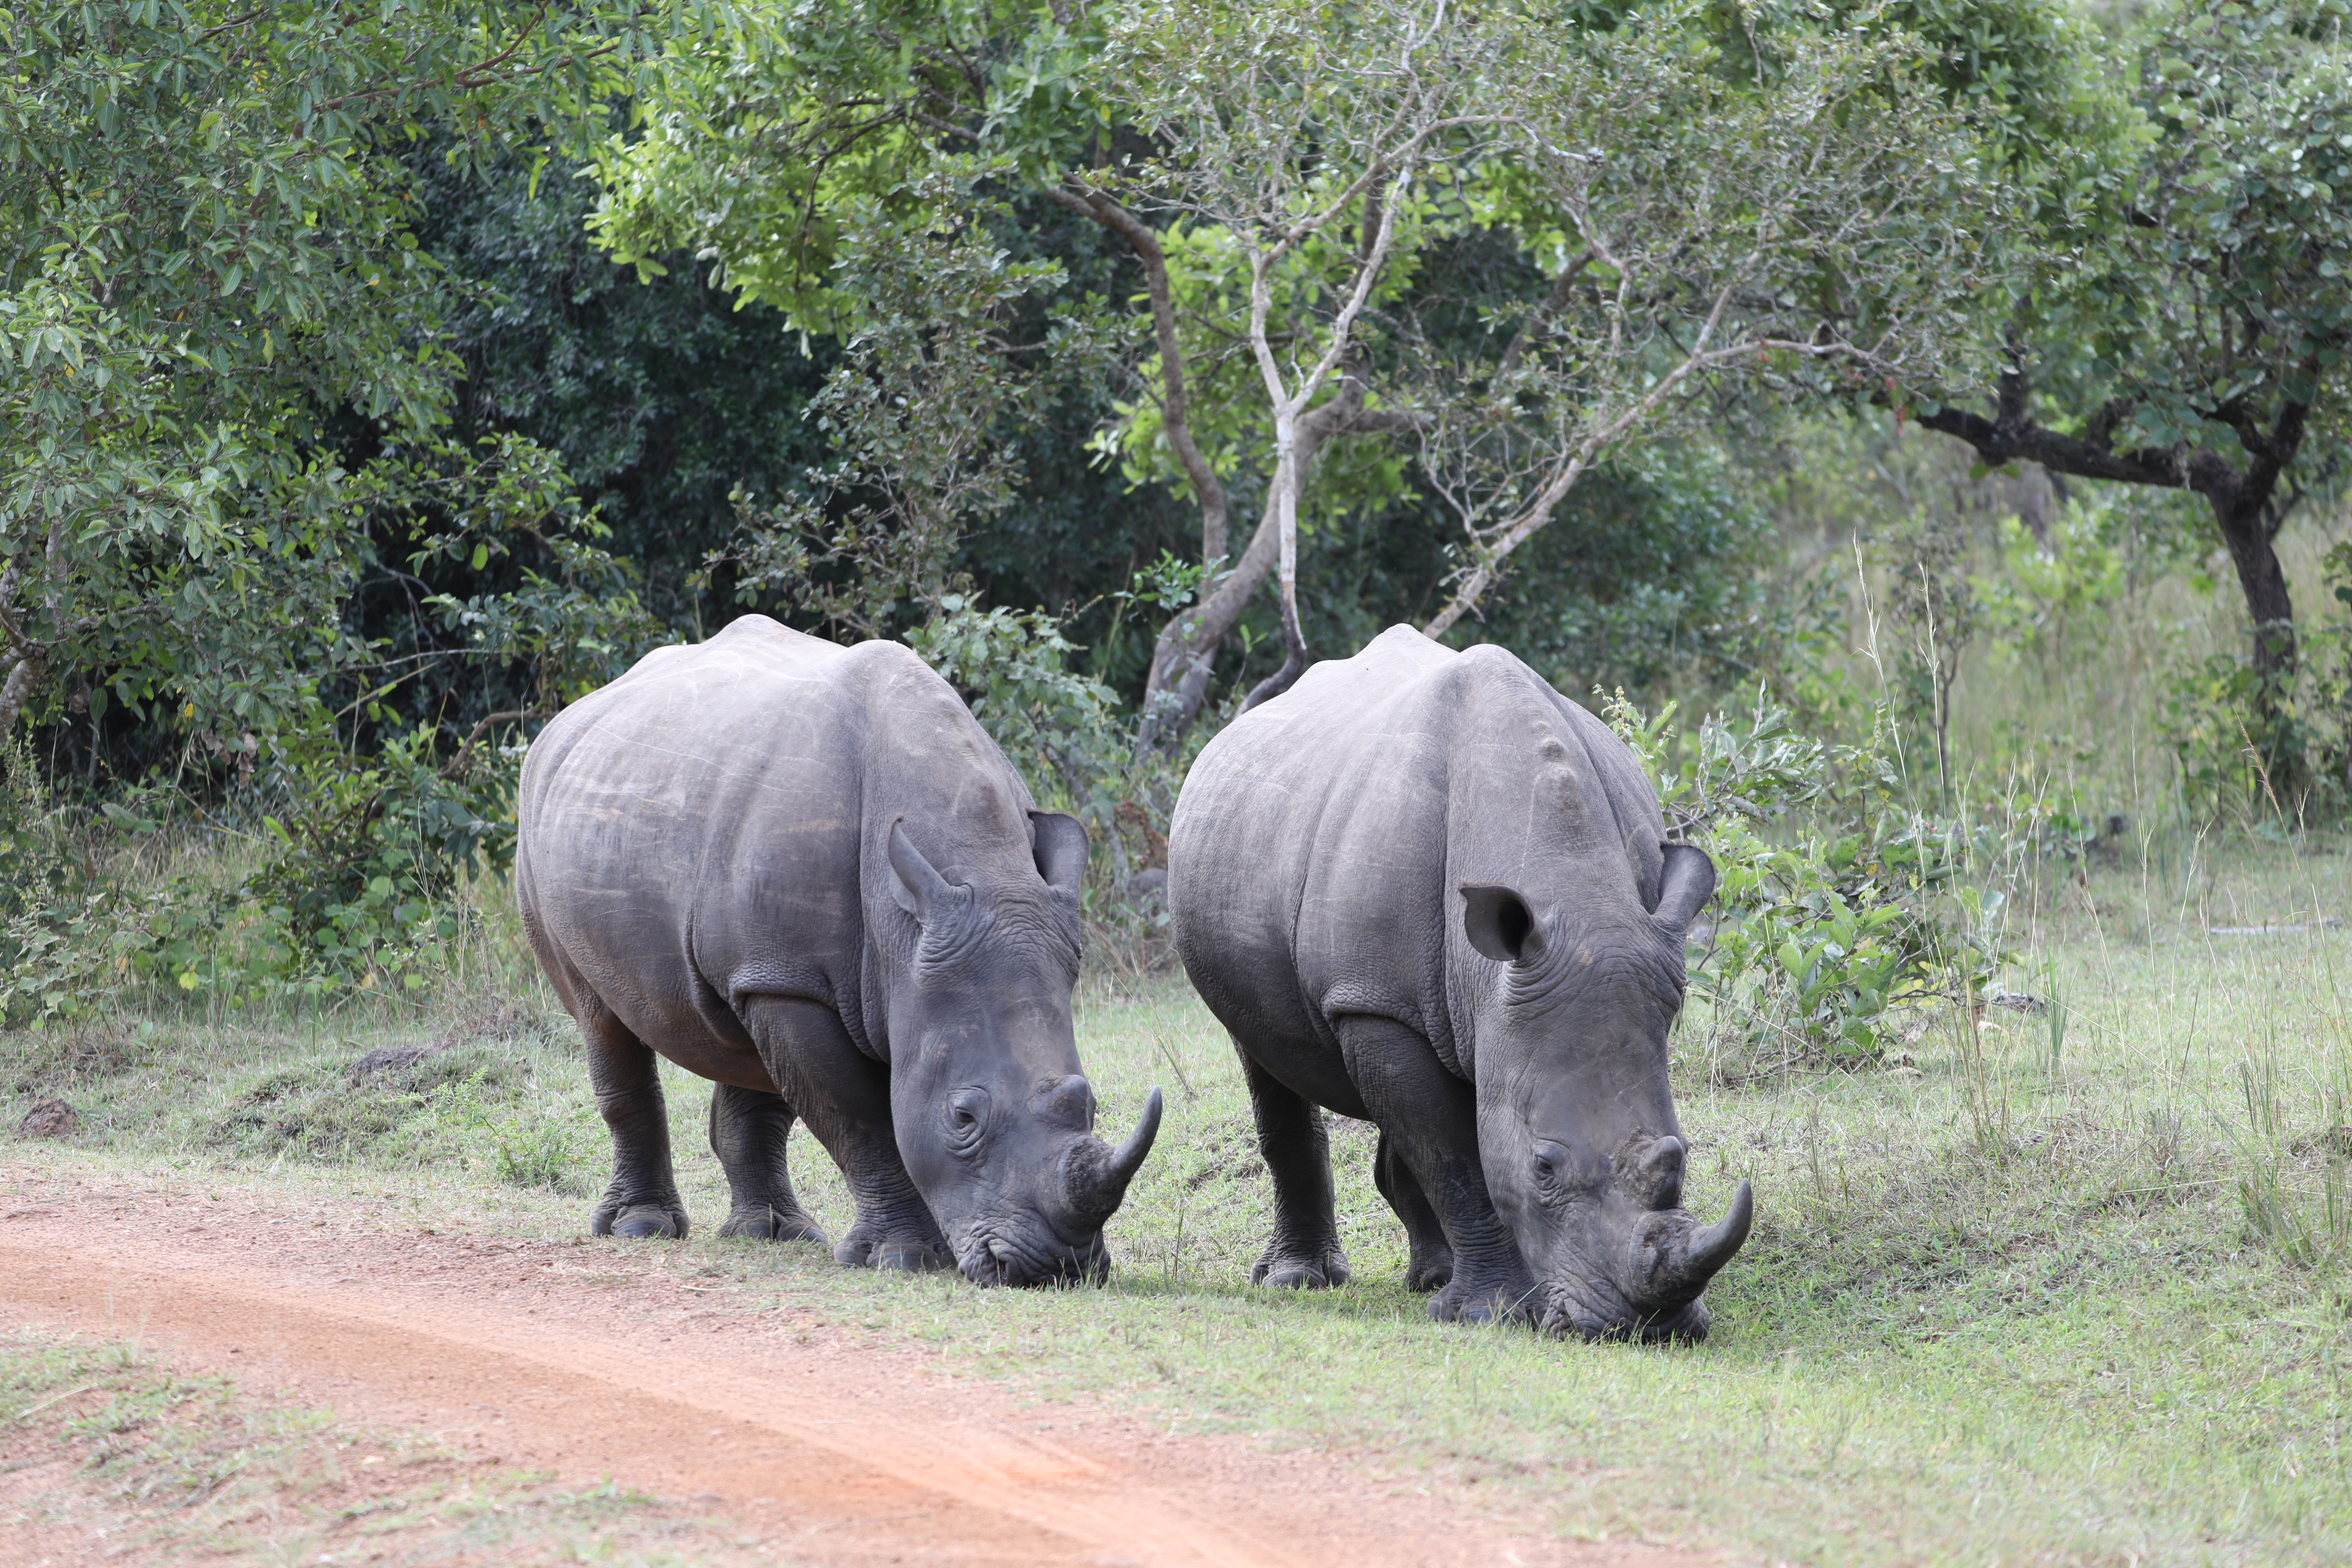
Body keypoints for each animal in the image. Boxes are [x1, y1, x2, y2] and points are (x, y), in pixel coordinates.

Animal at [515, 614, 1161, 1285]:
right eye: (962, 1117)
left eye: (1090, 1105)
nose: (1054, 1269)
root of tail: (565, 722)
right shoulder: (797, 982)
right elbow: (862, 1119)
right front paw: (905, 1260)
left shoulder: (791, 970)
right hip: (548, 840)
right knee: (601, 1018)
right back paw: (641, 1229)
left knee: (744, 1044)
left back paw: (775, 1235)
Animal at [1166, 626, 1750, 1339]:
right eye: (1544, 1166)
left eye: (1681, 1153)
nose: (1651, 1326)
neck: (1574, 895)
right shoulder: (1373, 1002)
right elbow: (1454, 1156)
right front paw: (1489, 1313)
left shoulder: (1481, 1000)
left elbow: (1447, 1138)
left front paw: (1487, 1302)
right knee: (1264, 1054)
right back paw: (1302, 1281)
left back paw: (1432, 1277)